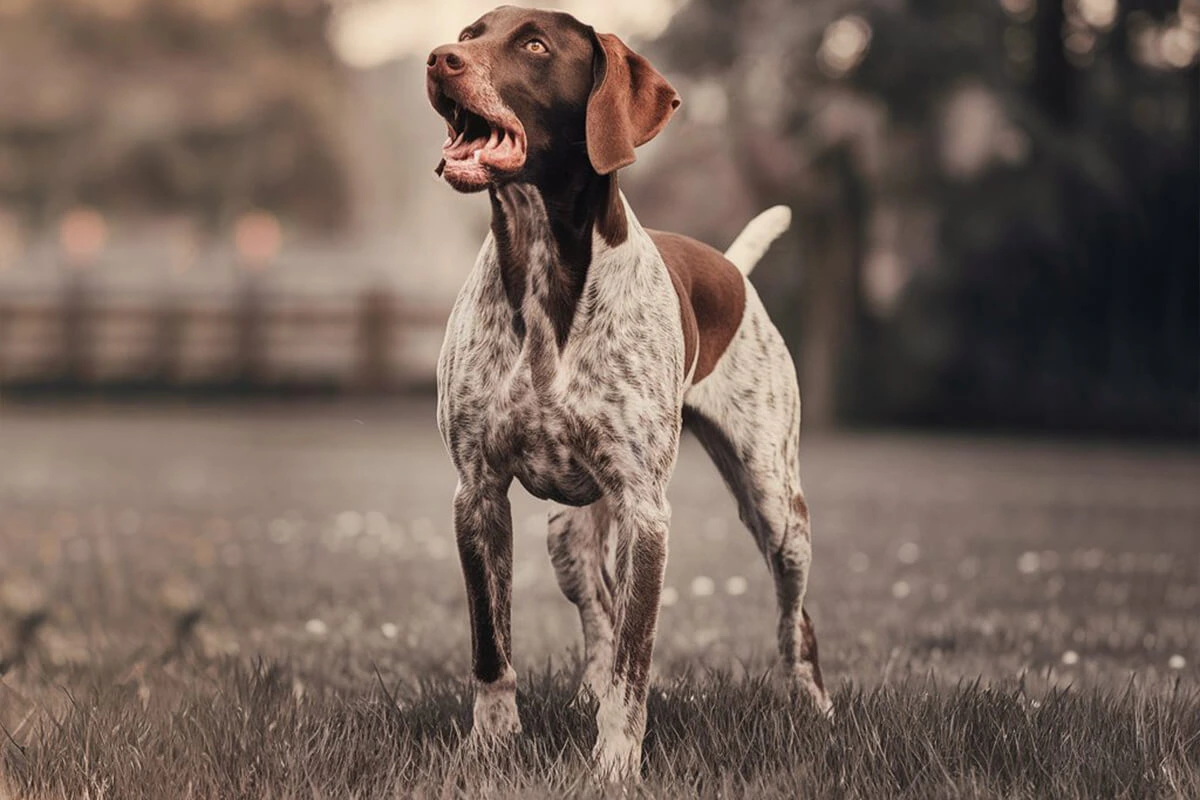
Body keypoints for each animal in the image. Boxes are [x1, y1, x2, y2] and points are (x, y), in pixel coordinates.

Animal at [427, 6, 830, 777]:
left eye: (533, 44)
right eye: (468, 33)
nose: (437, 58)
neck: (545, 267)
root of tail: (732, 268)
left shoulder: (646, 514)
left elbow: (634, 663)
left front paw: (616, 764)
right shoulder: (477, 493)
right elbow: (493, 647)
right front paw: (490, 746)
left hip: (776, 505)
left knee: (795, 619)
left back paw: (813, 707)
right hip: (569, 534)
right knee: (599, 617)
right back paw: (586, 692)